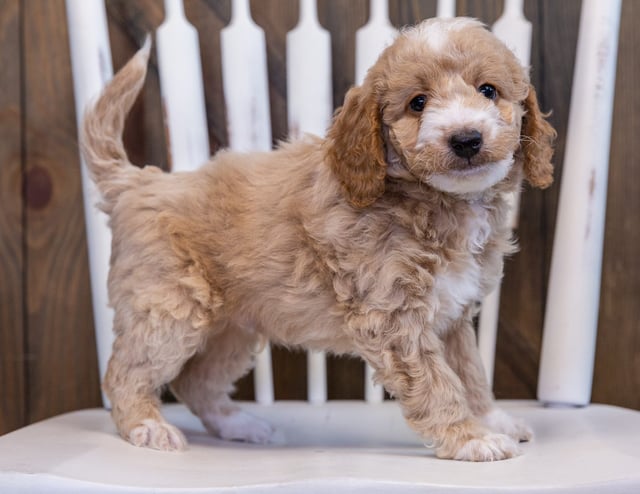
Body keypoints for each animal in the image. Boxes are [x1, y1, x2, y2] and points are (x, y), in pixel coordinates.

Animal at [84, 17, 556, 462]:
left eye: (488, 91)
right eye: (417, 103)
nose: (466, 139)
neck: (436, 202)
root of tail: (138, 181)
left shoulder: (453, 316)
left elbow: (471, 370)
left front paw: (492, 420)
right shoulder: (392, 317)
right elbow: (437, 382)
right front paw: (470, 438)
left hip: (231, 330)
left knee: (195, 381)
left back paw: (238, 424)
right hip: (168, 309)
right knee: (124, 372)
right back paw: (148, 425)